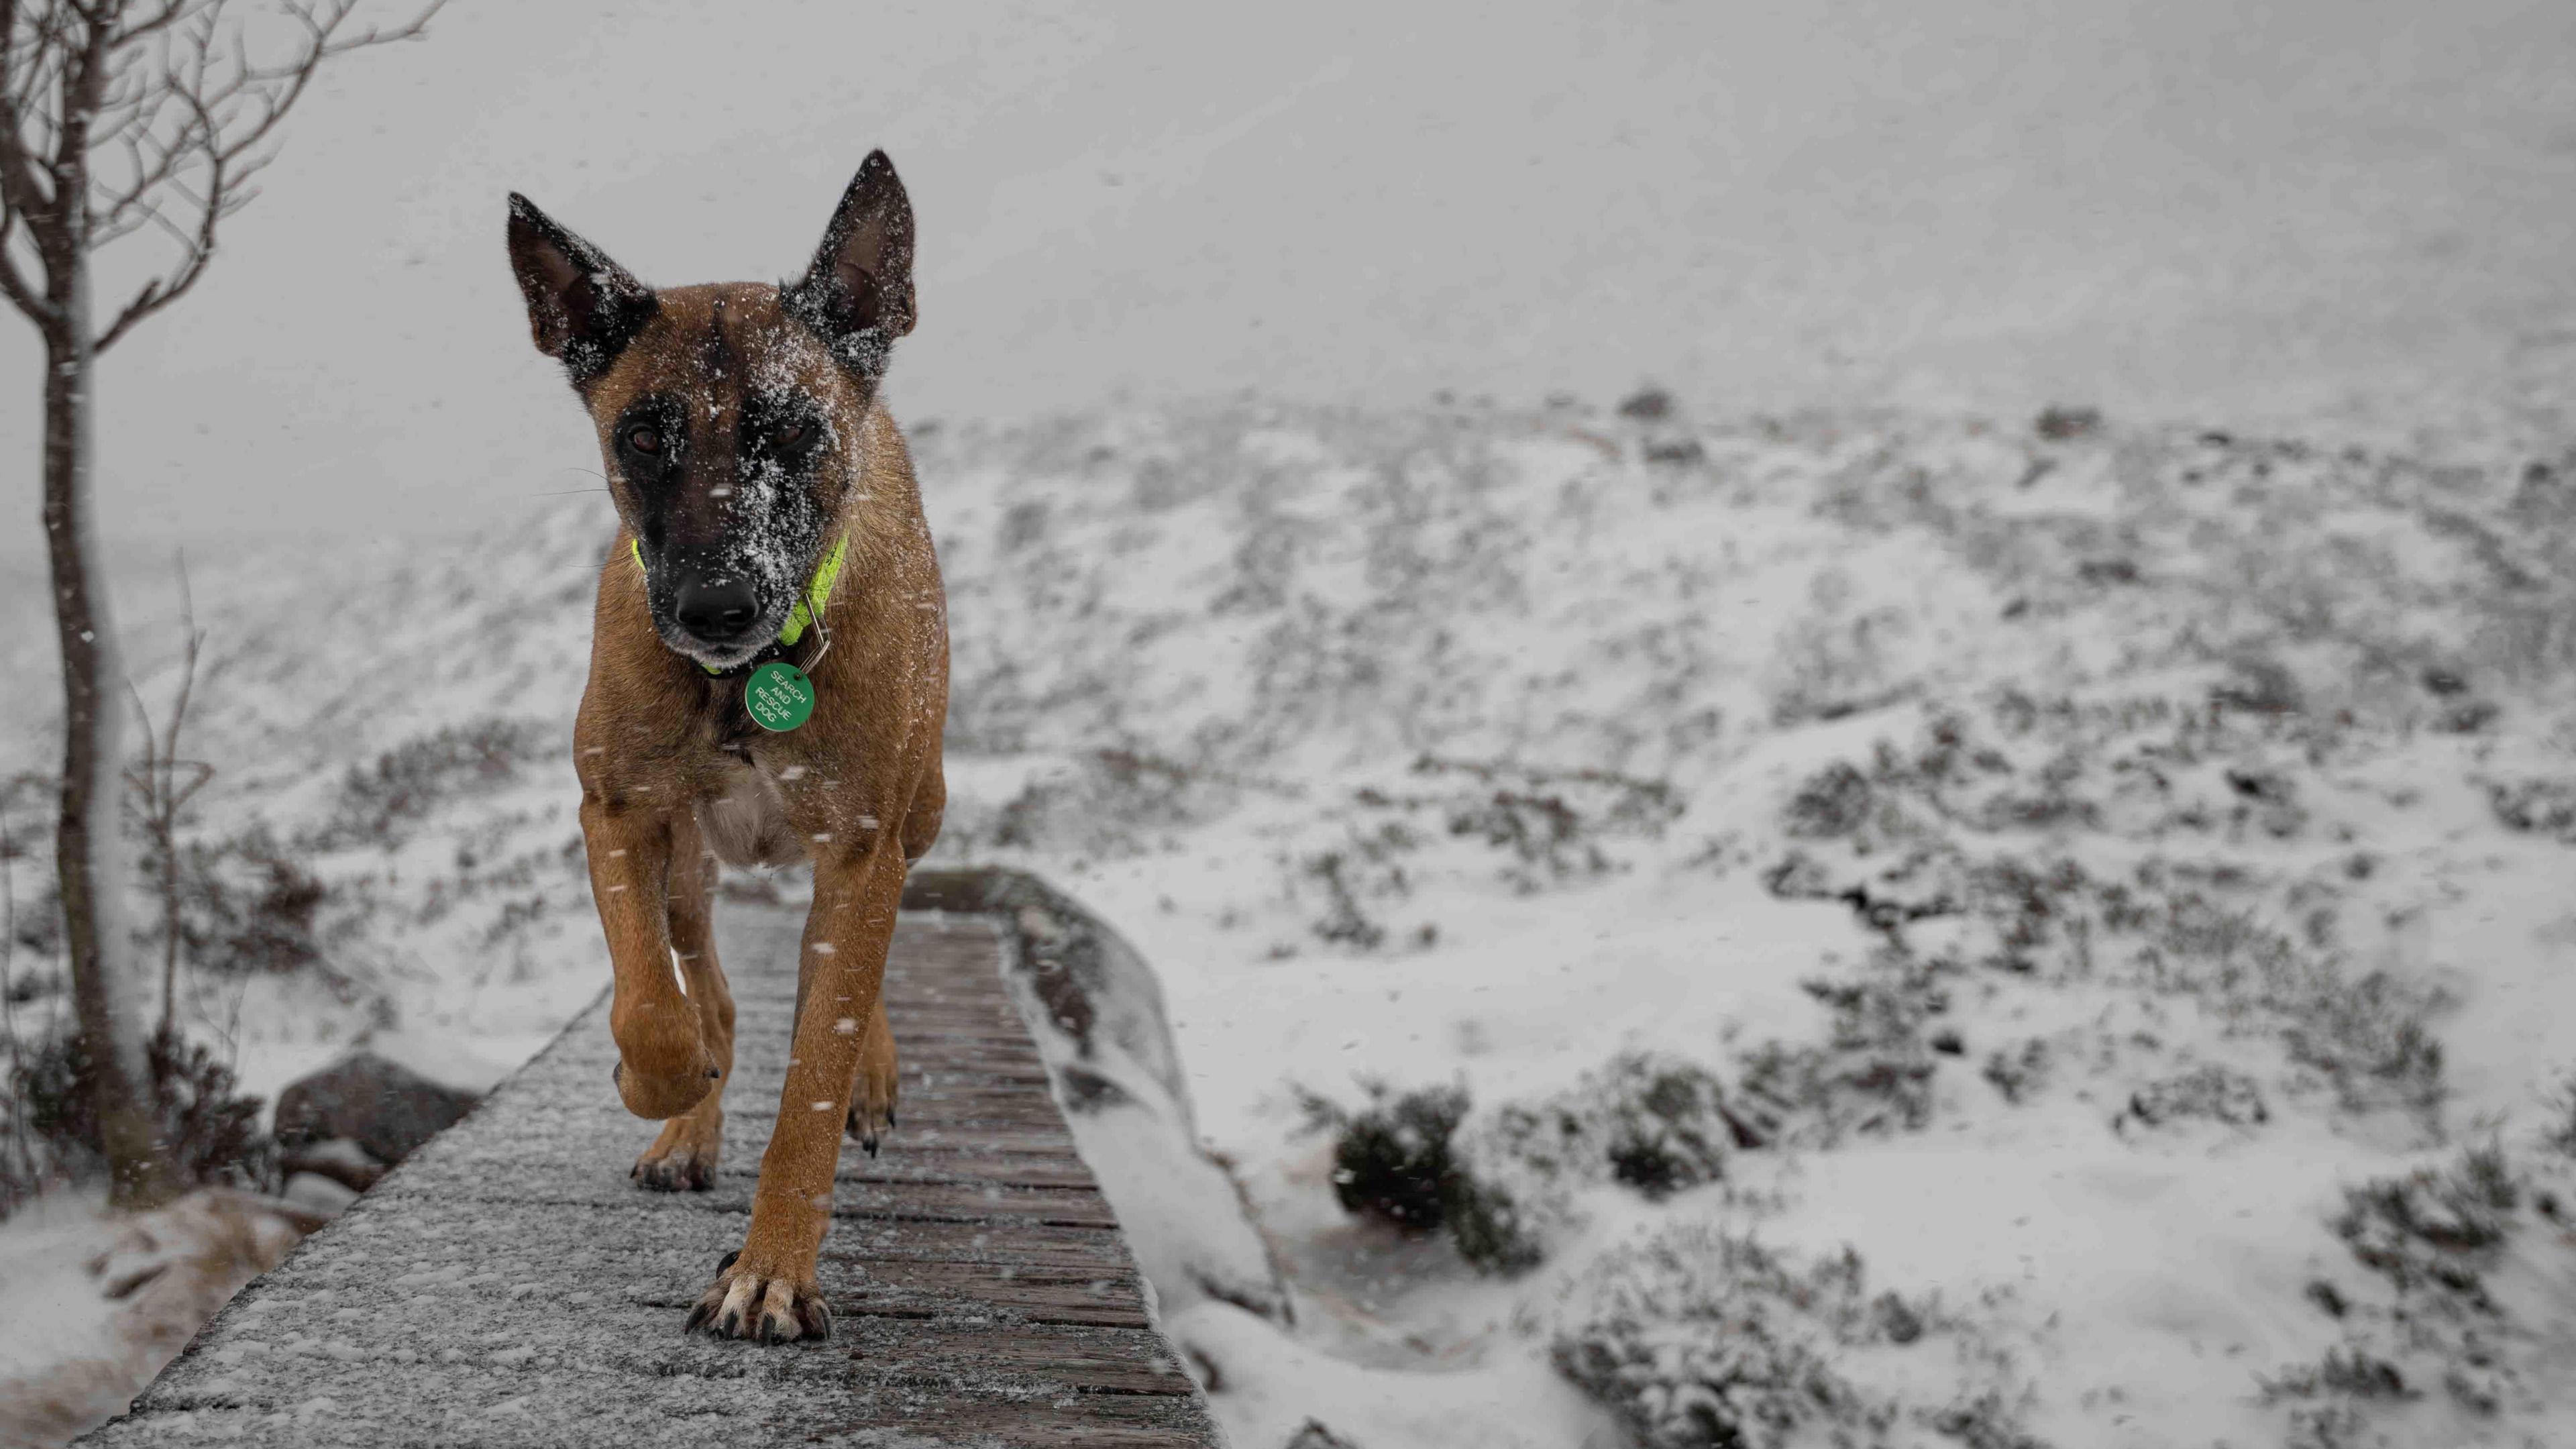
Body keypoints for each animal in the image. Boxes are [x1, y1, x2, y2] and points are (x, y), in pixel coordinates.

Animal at [502, 152, 948, 1340]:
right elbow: (653, 1010)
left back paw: (870, 1074)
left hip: (920, 812)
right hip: (688, 865)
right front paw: (665, 1087)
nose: (714, 606)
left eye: (793, 432)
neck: (747, 679)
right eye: (643, 437)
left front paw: (774, 1268)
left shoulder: (862, 846)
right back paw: (690, 1121)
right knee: (705, 977)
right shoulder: (616, 812)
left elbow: (814, 1074)